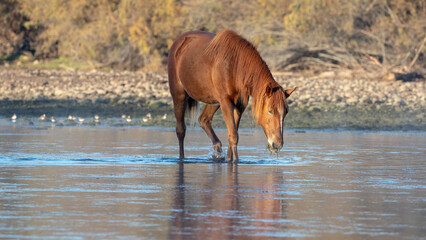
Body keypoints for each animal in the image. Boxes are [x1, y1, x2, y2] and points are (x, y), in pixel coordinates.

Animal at [167, 29, 296, 162]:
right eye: (270, 111)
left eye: (286, 112)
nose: (277, 145)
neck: (234, 66)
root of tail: (178, 42)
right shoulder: (226, 102)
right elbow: (234, 135)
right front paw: (235, 162)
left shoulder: (239, 105)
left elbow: (232, 134)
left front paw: (229, 160)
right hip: (179, 95)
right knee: (181, 130)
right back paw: (182, 158)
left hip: (214, 101)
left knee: (203, 119)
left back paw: (217, 148)